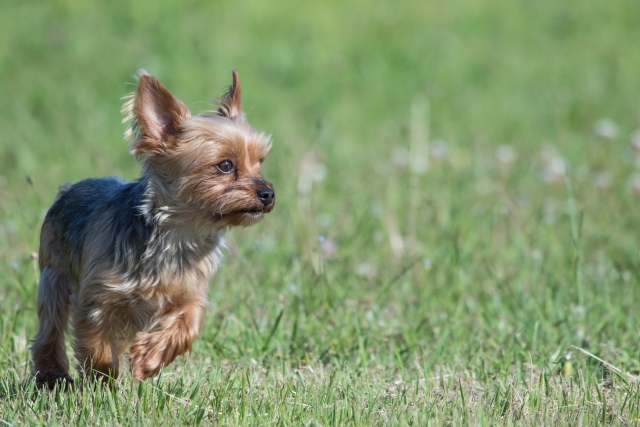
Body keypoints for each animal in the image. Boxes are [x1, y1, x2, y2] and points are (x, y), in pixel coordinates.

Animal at [30, 68, 276, 390]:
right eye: (225, 165)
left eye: (259, 163)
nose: (268, 193)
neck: (178, 234)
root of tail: (70, 187)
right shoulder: (97, 299)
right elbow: (97, 345)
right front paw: (103, 379)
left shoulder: (190, 294)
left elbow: (188, 325)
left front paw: (148, 358)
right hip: (53, 275)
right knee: (50, 328)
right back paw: (52, 375)